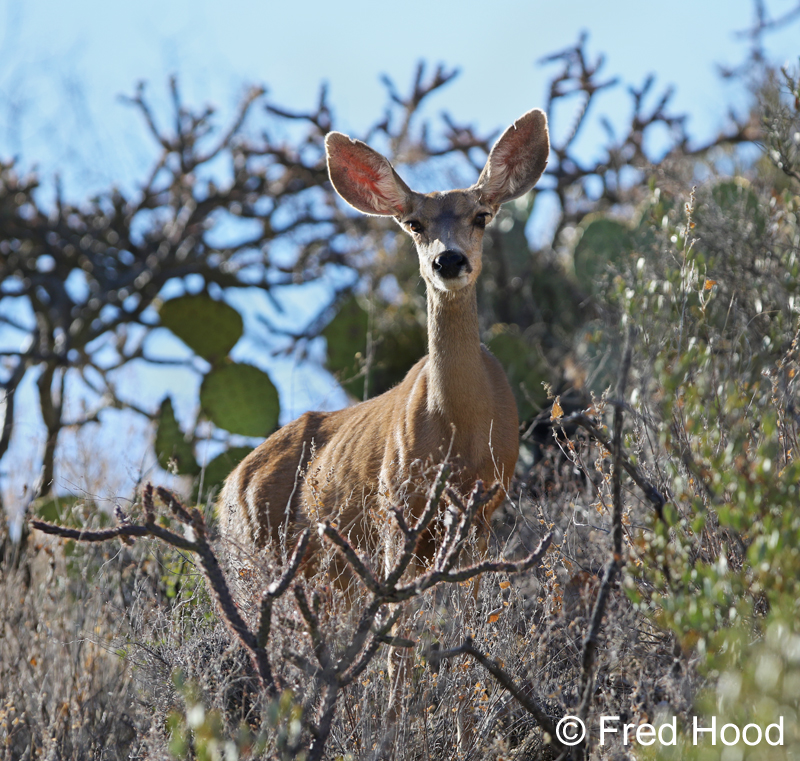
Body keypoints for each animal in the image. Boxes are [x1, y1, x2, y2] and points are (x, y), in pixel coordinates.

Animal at [217, 108, 549, 732]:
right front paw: (402, 718)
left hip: (326, 575)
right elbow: (399, 638)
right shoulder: (396, 510)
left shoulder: (483, 511)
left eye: (481, 215)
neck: (460, 431)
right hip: (256, 556)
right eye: (414, 223)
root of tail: (227, 486)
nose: (449, 260)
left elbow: (463, 620)